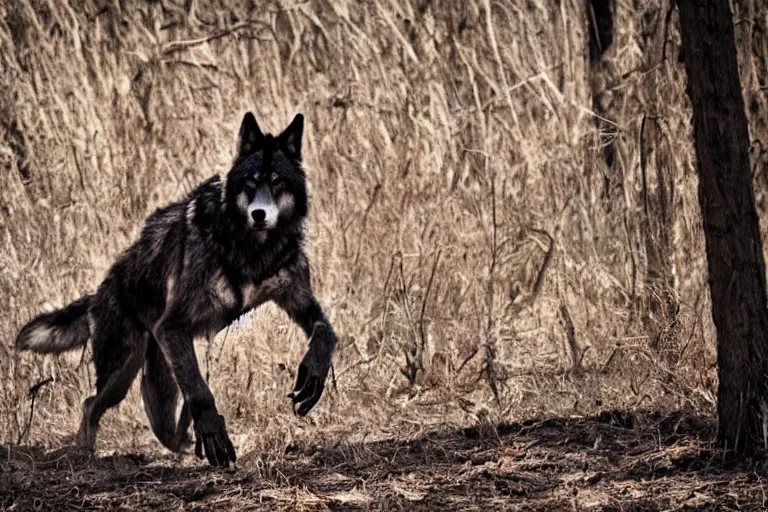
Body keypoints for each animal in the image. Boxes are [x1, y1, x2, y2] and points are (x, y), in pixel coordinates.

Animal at [15, 113, 338, 468]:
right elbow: (201, 392)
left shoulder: (300, 301)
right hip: (122, 373)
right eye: (251, 182)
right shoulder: (172, 326)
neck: (252, 249)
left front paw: (313, 375)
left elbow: (327, 333)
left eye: (278, 181)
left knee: (167, 422)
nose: (259, 214)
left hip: (154, 381)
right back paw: (87, 454)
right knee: (93, 404)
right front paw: (212, 430)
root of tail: (100, 291)